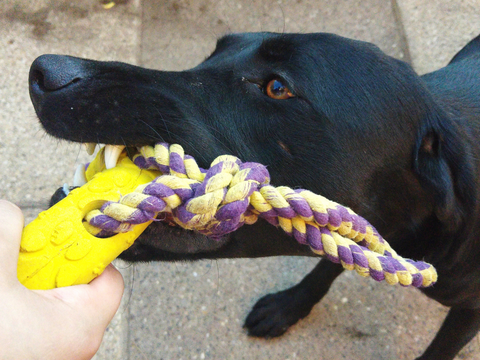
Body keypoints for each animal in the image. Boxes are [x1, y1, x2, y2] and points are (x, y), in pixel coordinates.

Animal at [28, 32, 480, 358]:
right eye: (212, 54)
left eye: (277, 87)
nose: (44, 72)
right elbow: (331, 259)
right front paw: (290, 304)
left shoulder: (468, 314)